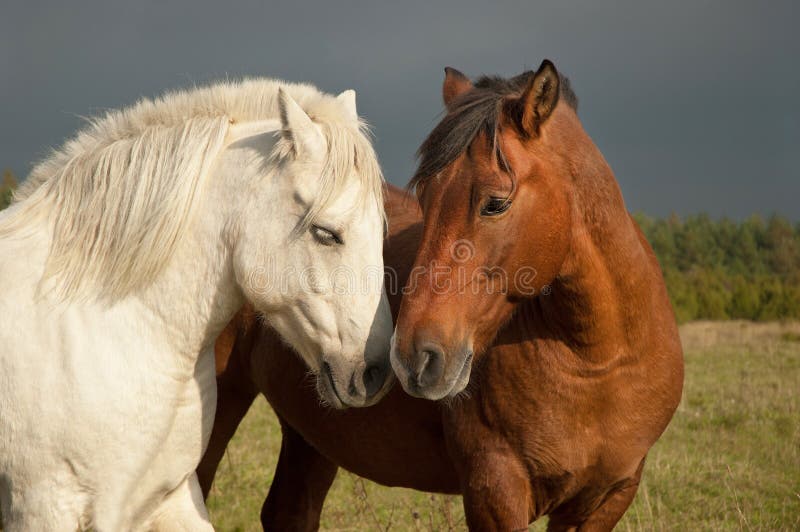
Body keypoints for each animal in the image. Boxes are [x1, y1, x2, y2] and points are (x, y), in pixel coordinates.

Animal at [200, 60, 684, 531]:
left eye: (495, 202)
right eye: (426, 197)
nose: (414, 357)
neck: (598, 361)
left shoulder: (606, 498)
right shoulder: (495, 492)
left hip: (312, 431)